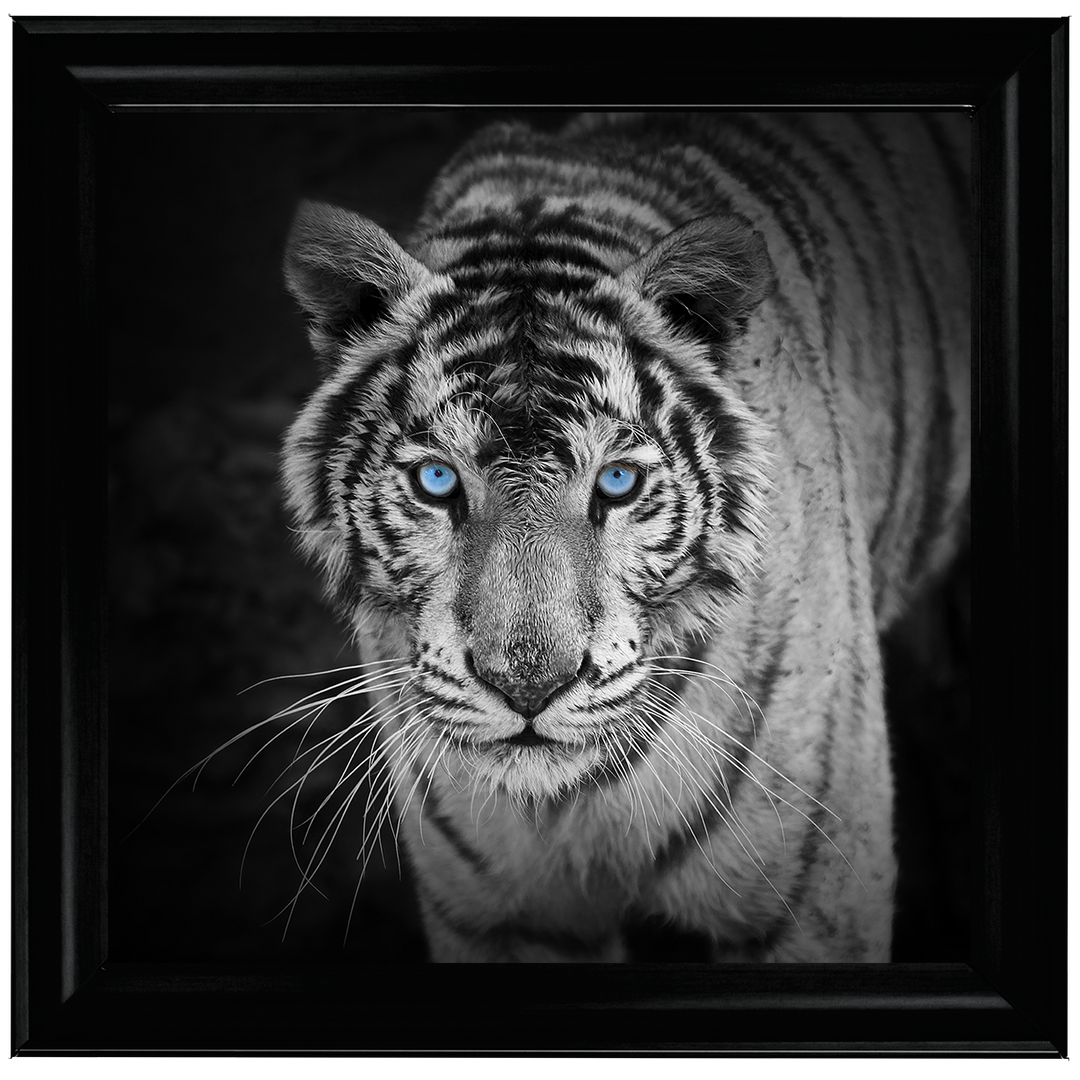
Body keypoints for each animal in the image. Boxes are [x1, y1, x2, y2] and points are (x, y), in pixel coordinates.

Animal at [279, 111, 970, 963]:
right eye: (437, 480)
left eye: (616, 483)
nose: (528, 688)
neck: (568, 804)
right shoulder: (501, 918)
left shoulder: (812, 904)